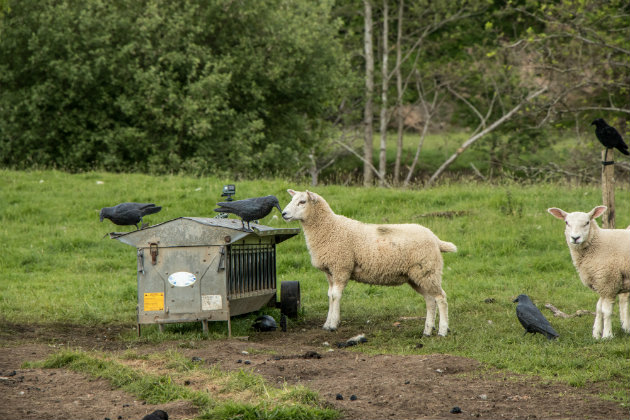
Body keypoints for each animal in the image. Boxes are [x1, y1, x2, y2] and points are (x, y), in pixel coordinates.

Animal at [548, 205, 630, 340]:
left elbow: (606, 311)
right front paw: (596, 334)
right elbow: (599, 308)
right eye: (566, 222)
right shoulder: (600, 282)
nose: (575, 238)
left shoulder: (608, 282)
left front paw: (607, 335)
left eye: (587, 222)